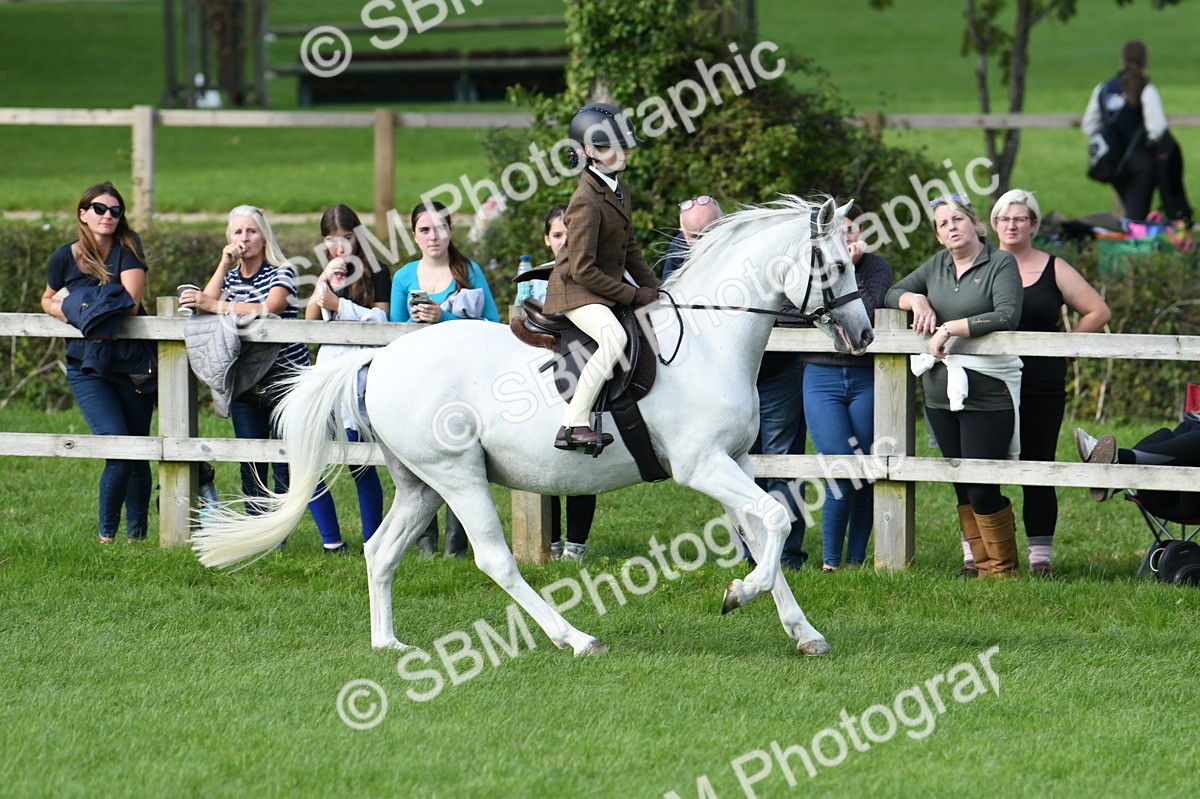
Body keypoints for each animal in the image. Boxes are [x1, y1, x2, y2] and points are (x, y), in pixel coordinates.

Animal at [193, 195, 874, 657]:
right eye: (837, 265)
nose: (865, 334)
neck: (710, 339)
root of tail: (380, 359)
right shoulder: (702, 465)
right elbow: (777, 519)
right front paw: (740, 594)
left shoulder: (733, 463)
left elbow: (764, 529)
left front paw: (801, 630)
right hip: (458, 477)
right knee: (495, 560)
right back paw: (574, 637)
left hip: (421, 484)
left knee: (381, 551)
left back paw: (388, 643)